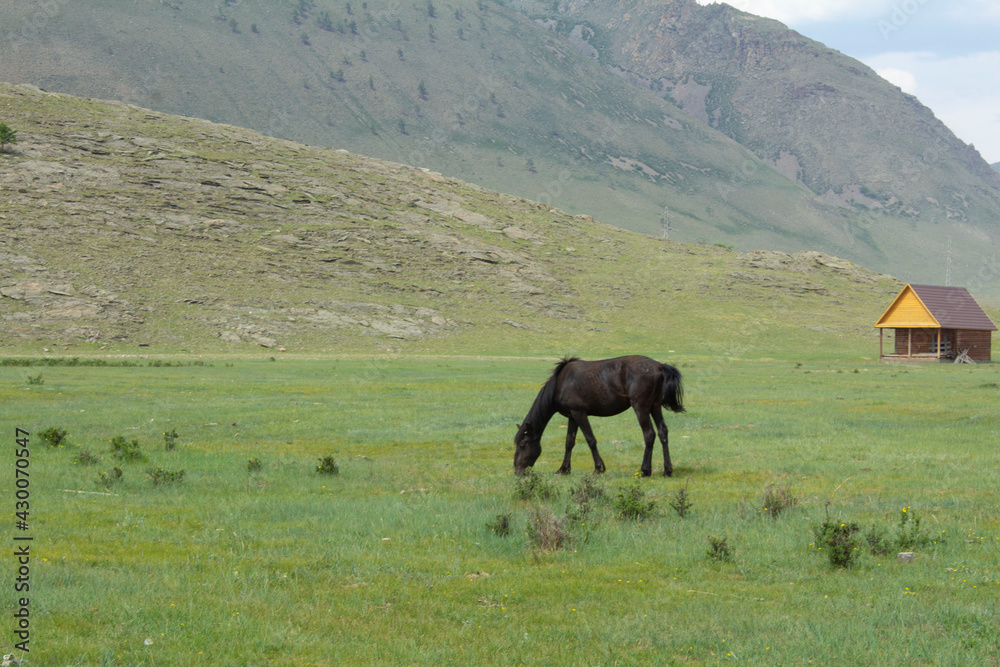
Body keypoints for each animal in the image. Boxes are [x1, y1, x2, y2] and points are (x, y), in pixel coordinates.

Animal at [512, 358, 684, 478]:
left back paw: (644, 471)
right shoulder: (572, 416)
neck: (560, 383)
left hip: (641, 408)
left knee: (649, 435)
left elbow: (590, 440)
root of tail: (660, 366)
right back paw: (667, 471)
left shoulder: (579, 413)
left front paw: (598, 468)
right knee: (663, 433)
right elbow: (569, 442)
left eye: (522, 445)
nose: (517, 471)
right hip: (655, 407)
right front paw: (563, 469)